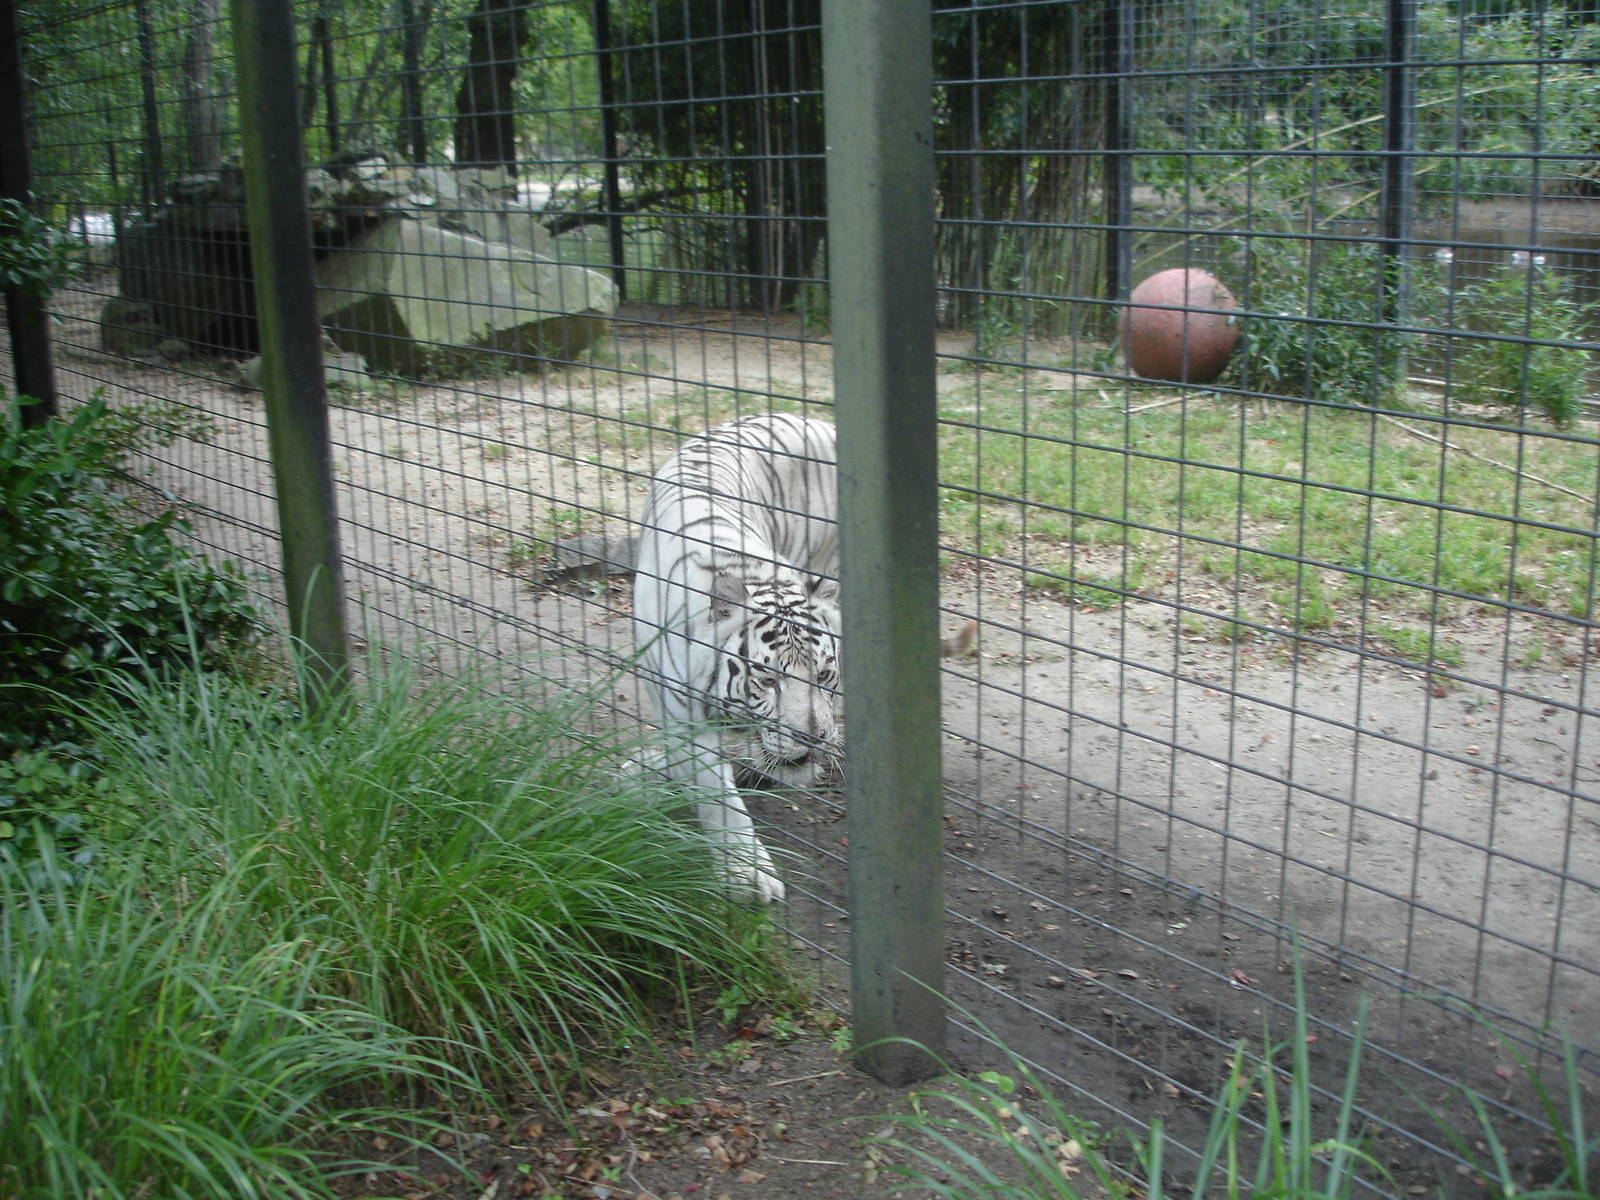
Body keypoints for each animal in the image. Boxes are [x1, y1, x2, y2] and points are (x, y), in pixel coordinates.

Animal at [633, 412, 841, 904]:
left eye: (825, 675)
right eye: (767, 680)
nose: (816, 737)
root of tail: (816, 420)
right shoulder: (682, 715)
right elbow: (717, 794)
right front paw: (747, 877)